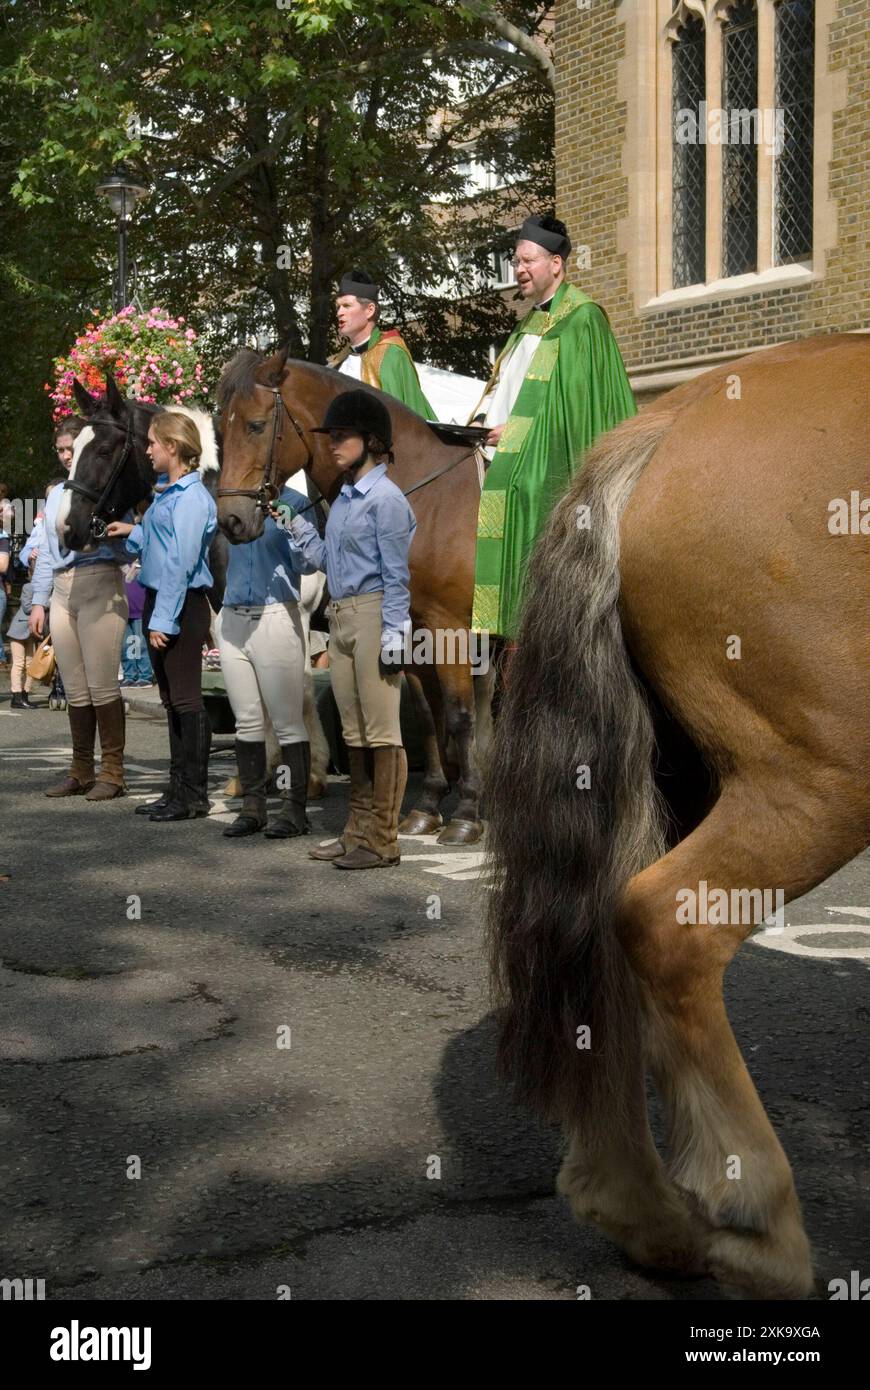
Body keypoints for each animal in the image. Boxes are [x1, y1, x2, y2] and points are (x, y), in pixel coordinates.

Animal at [215, 347, 489, 845]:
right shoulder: (409, 629)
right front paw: (427, 807)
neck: (429, 502)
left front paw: (467, 813)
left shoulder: (450, 628)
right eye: (220, 429)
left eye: (256, 425)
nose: (232, 521)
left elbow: (459, 714)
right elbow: (427, 713)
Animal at [480, 330, 867, 1295]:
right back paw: (757, 1222)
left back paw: (638, 1208)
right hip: (815, 775)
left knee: (601, 930)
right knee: (666, 921)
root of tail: (672, 420)